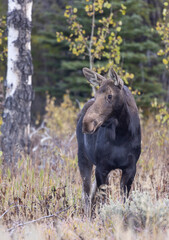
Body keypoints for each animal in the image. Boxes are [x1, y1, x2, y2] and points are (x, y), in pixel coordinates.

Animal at [76, 66, 141, 215]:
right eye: (95, 96)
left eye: (110, 96)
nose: (86, 123)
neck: (122, 135)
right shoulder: (102, 167)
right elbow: (104, 199)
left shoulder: (130, 168)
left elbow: (124, 198)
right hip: (82, 157)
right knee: (86, 192)